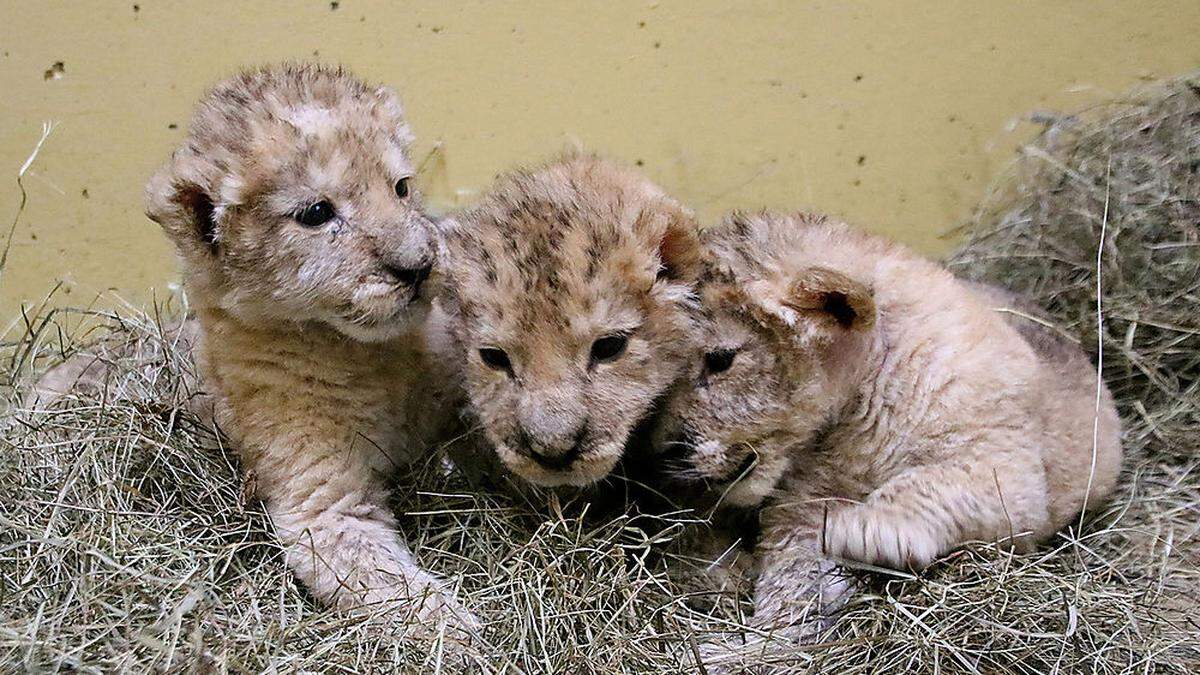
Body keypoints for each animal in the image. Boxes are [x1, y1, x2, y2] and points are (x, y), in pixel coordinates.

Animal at [144, 65, 472, 629]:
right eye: (317, 213)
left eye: (401, 187)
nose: (419, 266)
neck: (371, 357)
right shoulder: (319, 501)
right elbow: (395, 589)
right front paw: (468, 635)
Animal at [657, 214, 1123, 648]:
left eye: (720, 360)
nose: (665, 450)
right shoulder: (801, 509)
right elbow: (792, 581)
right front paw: (753, 644)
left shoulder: (1009, 472)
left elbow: (930, 482)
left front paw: (863, 529)